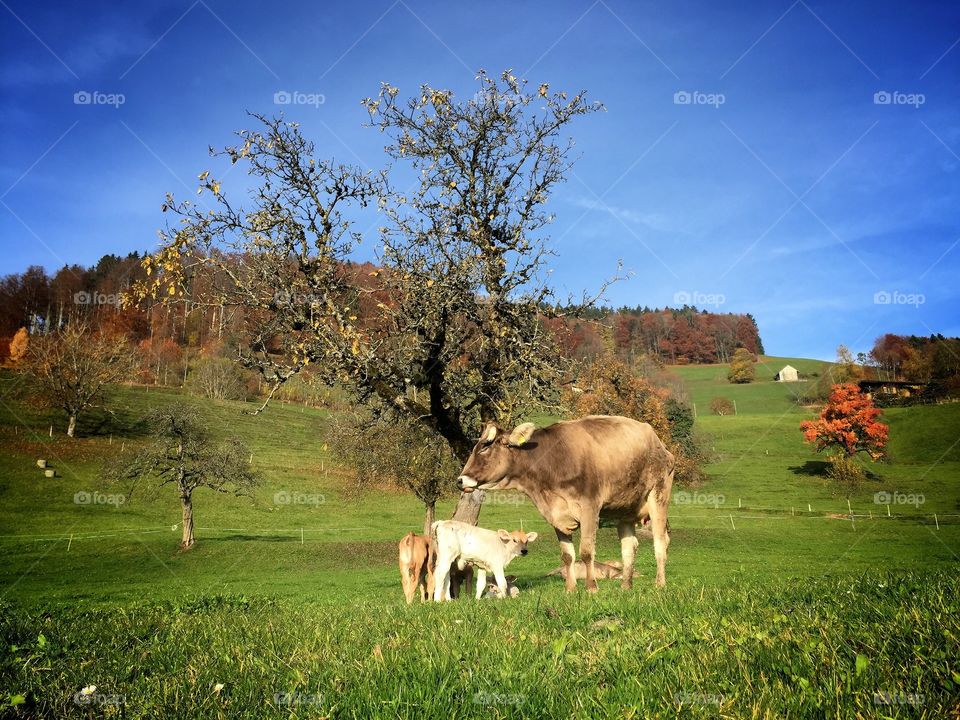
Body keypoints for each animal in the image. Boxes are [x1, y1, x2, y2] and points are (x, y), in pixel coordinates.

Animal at [458, 416, 676, 592]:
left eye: (486, 446)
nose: (460, 480)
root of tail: (659, 444)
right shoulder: (556, 514)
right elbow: (567, 555)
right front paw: (570, 588)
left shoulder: (589, 508)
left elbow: (586, 552)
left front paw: (591, 587)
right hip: (624, 509)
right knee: (629, 547)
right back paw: (625, 586)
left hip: (658, 495)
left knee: (660, 542)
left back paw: (659, 584)